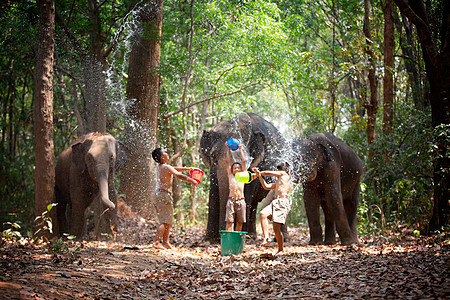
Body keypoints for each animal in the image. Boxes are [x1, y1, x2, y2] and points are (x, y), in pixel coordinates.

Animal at [200, 112, 288, 241]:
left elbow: (247, 192)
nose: (221, 235)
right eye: (213, 156)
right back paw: (252, 235)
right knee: (255, 202)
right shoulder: (213, 169)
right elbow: (214, 191)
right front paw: (210, 239)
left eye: (245, 159)